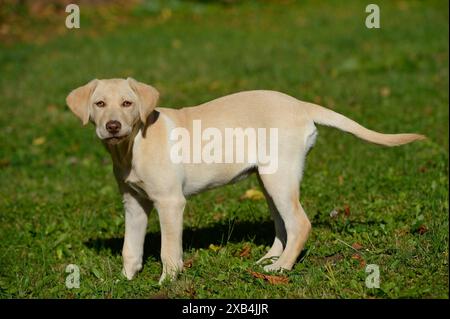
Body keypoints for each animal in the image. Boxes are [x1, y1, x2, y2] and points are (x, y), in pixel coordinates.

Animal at [67, 79, 426, 284]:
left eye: (128, 103)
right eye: (99, 104)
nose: (113, 126)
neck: (132, 146)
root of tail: (299, 104)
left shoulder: (170, 202)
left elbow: (169, 249)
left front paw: (167, 281)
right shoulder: (133, 204)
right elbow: (130, 247)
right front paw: (126, 279)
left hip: (278, 177)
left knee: (299, 223)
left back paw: (281, 269)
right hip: (269, 179)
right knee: (283, 225)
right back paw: (272, 259)